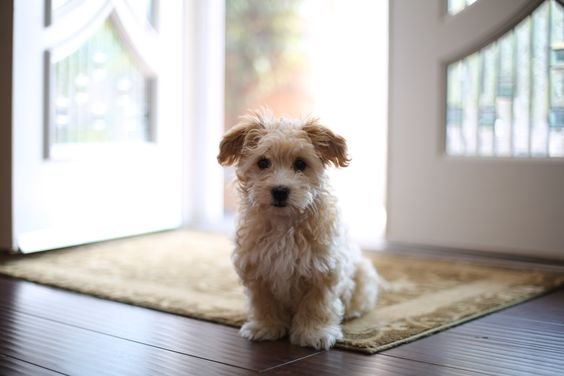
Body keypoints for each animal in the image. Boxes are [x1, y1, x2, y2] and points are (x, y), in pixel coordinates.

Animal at [217, 110, 378, 352]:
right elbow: (263, 302)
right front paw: (265, 327)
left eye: (300, 164)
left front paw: (315, 333)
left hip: (362, 272)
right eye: (263, 162)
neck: (284, 224)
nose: (280, 191)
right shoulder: (257, 269)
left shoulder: (323, 270)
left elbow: (317, 304)